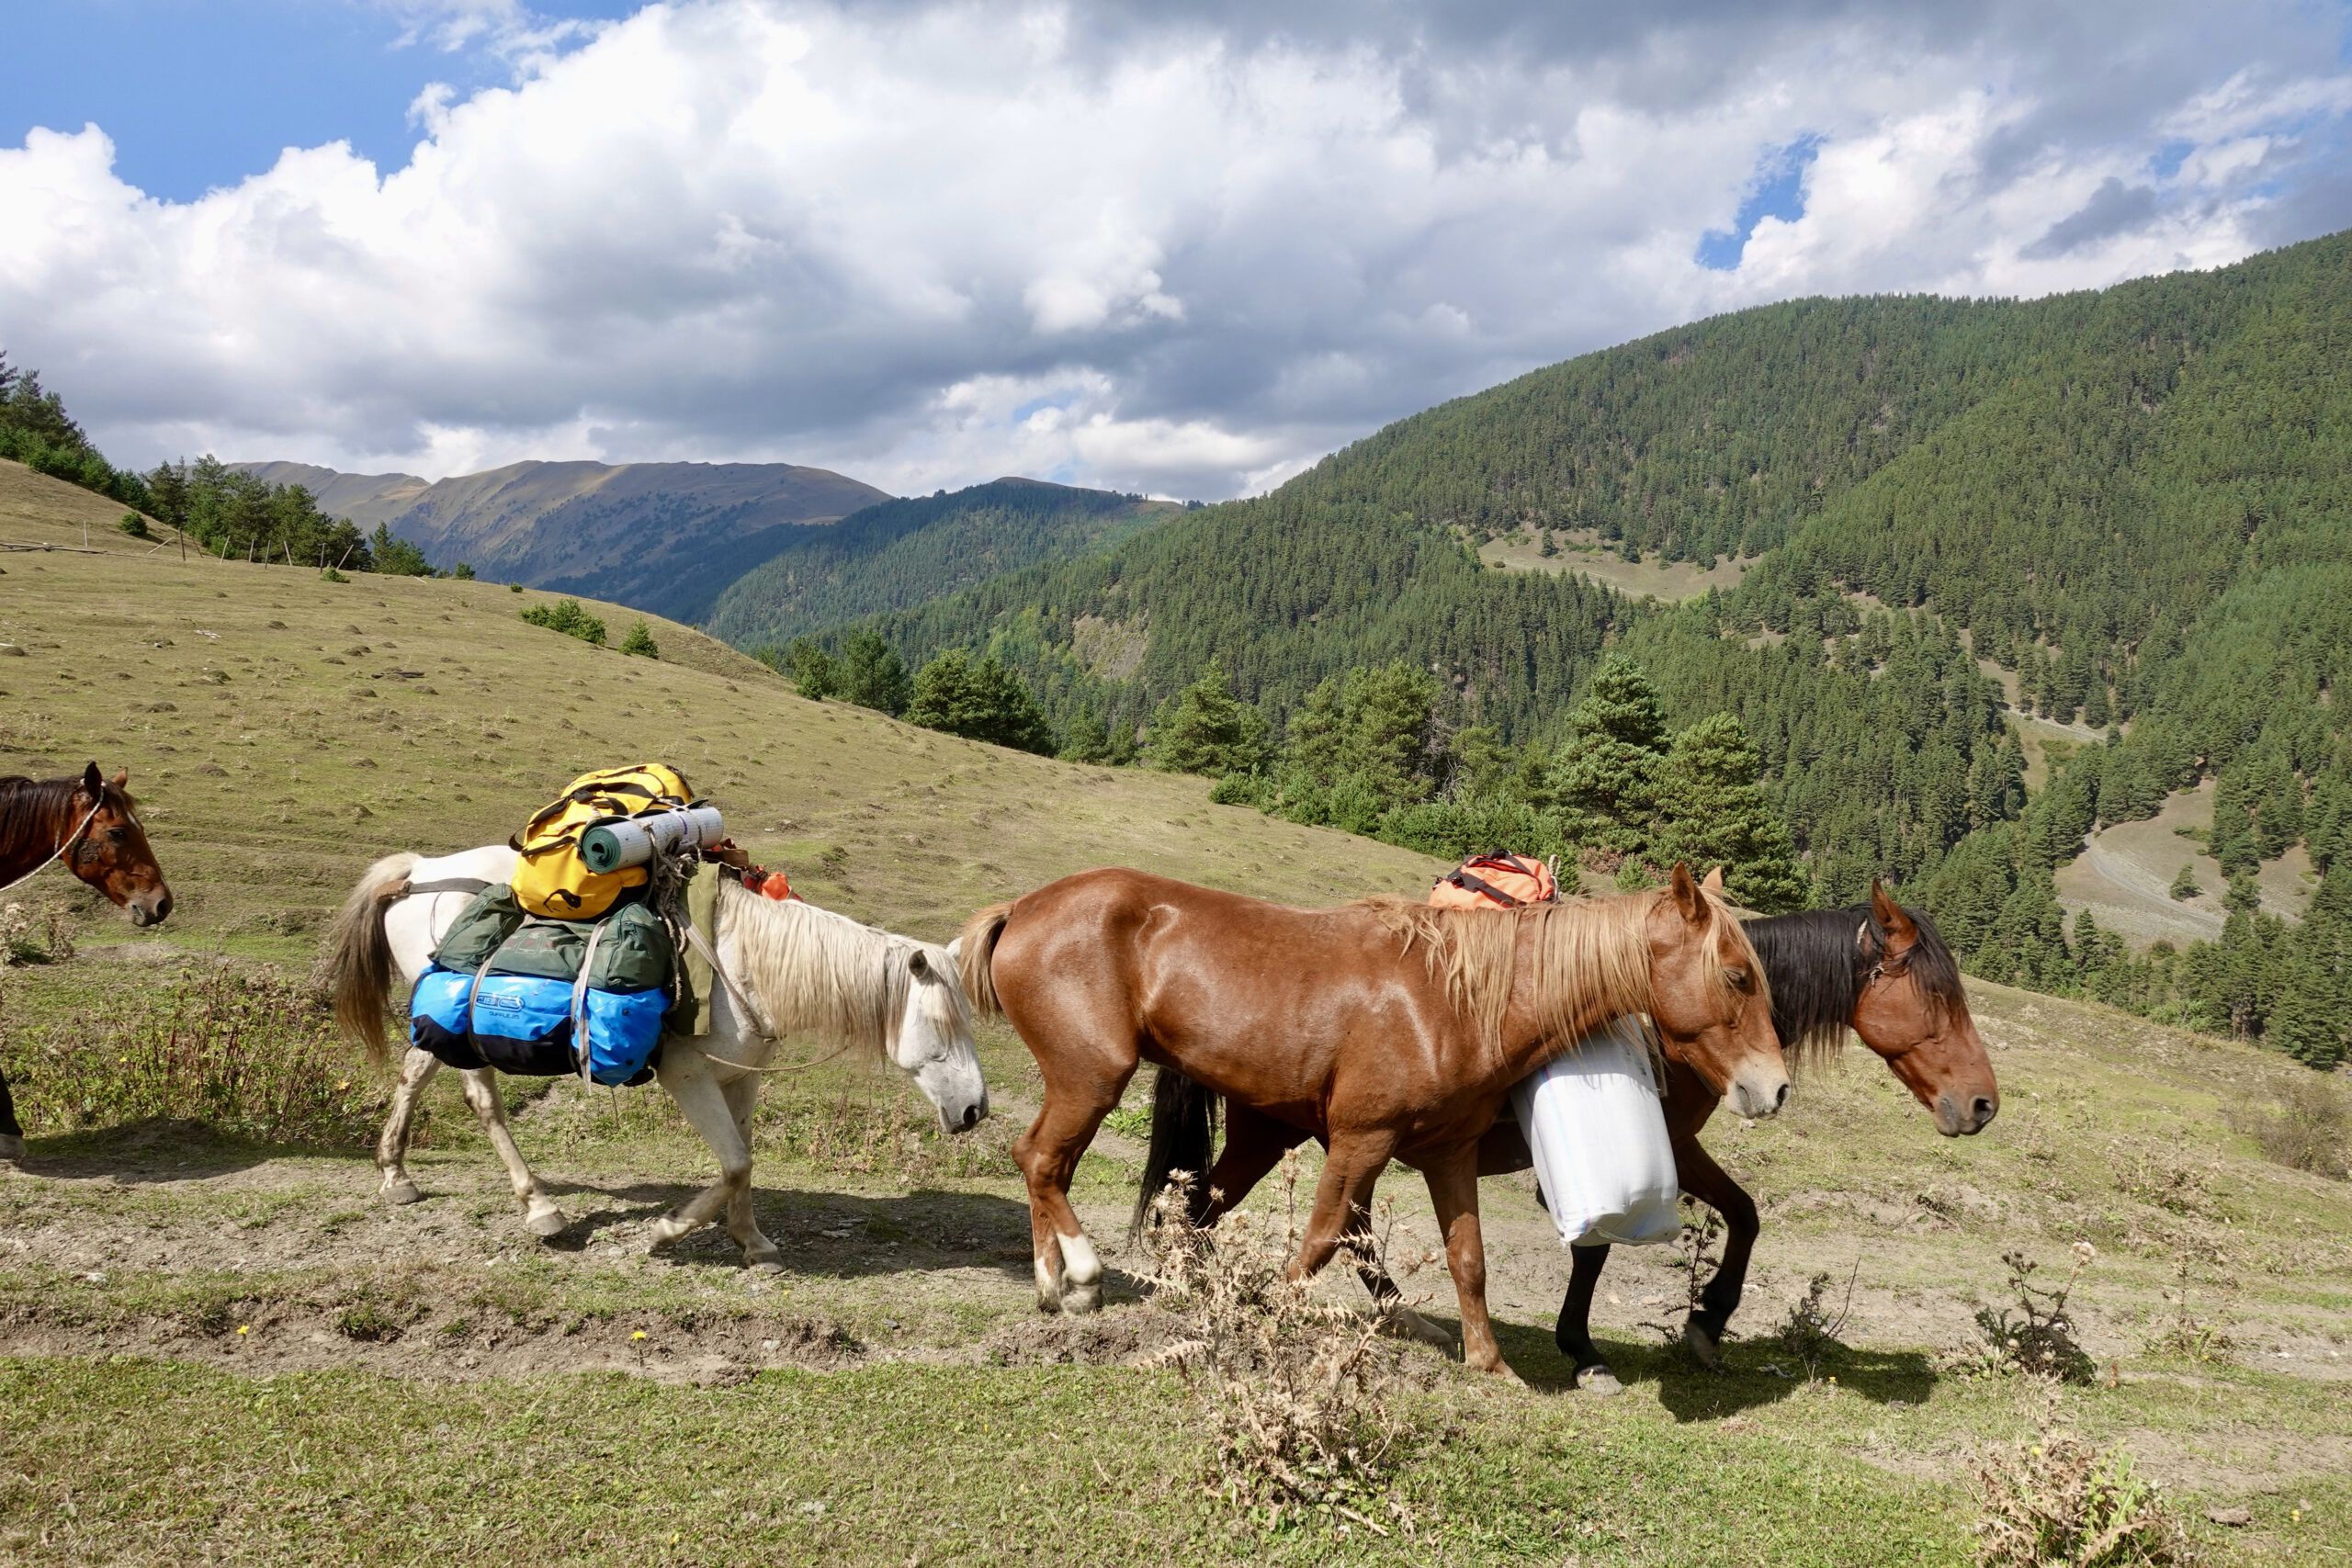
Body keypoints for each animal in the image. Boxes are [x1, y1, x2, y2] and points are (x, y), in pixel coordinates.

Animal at [955, 860, 1778, 1382]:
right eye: (1737, 975)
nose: (1772, 1088)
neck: (1453, 1001)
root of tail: (1022, 909)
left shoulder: (1448, 1154)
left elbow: (1467, 1258)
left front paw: (1488, 1361)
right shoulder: (1362, 1140)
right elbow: (1321, 1240)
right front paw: (1274, 1321)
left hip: (1237, 1127)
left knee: (1152, 1201)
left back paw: (1061, 1286)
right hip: (1090, 1079)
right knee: (1044, 1162)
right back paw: (1080, 1278)